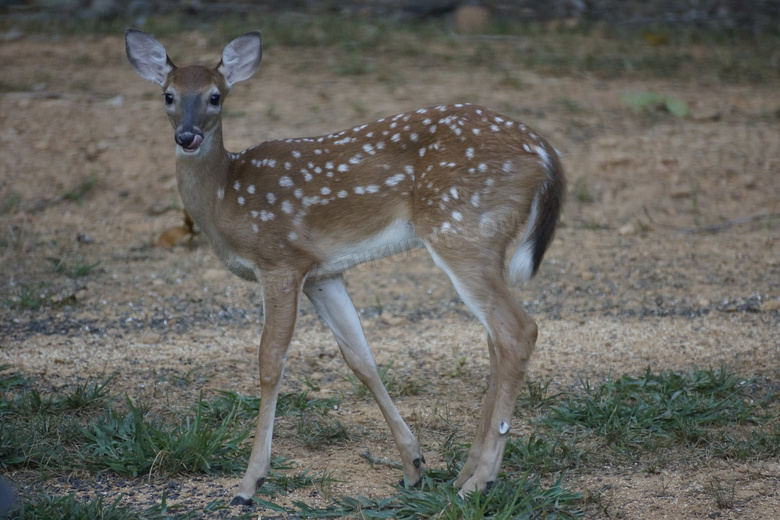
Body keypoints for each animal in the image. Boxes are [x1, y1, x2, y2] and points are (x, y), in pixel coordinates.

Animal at [126, 27, 568, 504]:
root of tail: (546, 153)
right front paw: (413, 465)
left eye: (215, 96)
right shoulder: (322, 273)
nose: (187, 136)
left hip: (460, 228)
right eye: (168, 95)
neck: (226, 197)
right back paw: (462, 475)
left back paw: (479, 481)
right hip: (485, 242)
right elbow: (360, 357)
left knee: (518, 330)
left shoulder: (280, 260)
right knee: (495, 339)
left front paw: (249, 483)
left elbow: (270, 362)